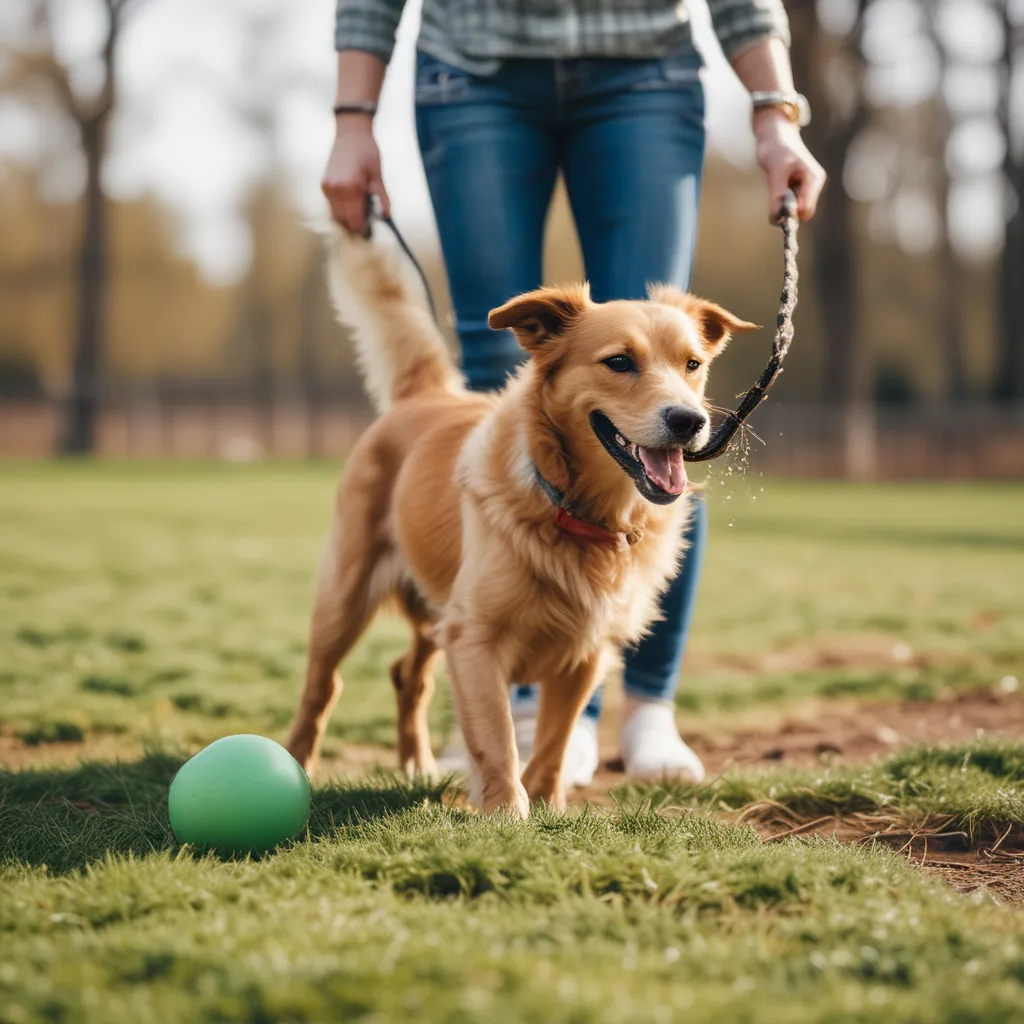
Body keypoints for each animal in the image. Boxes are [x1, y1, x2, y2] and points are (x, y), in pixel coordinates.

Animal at [286, 230, 753, 815]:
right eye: (620, 362)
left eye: (692, 364)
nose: (689, 420)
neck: (580, 512)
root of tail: (426, 394)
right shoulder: (474, 636)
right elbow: (497, 735)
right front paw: (507, 813)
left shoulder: (585, 652)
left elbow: (555, 738)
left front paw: (549, 804)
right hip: (345, 597)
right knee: (321, 688)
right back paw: (294, 766)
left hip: (434, 605)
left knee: (408, 676)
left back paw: (417, 766)